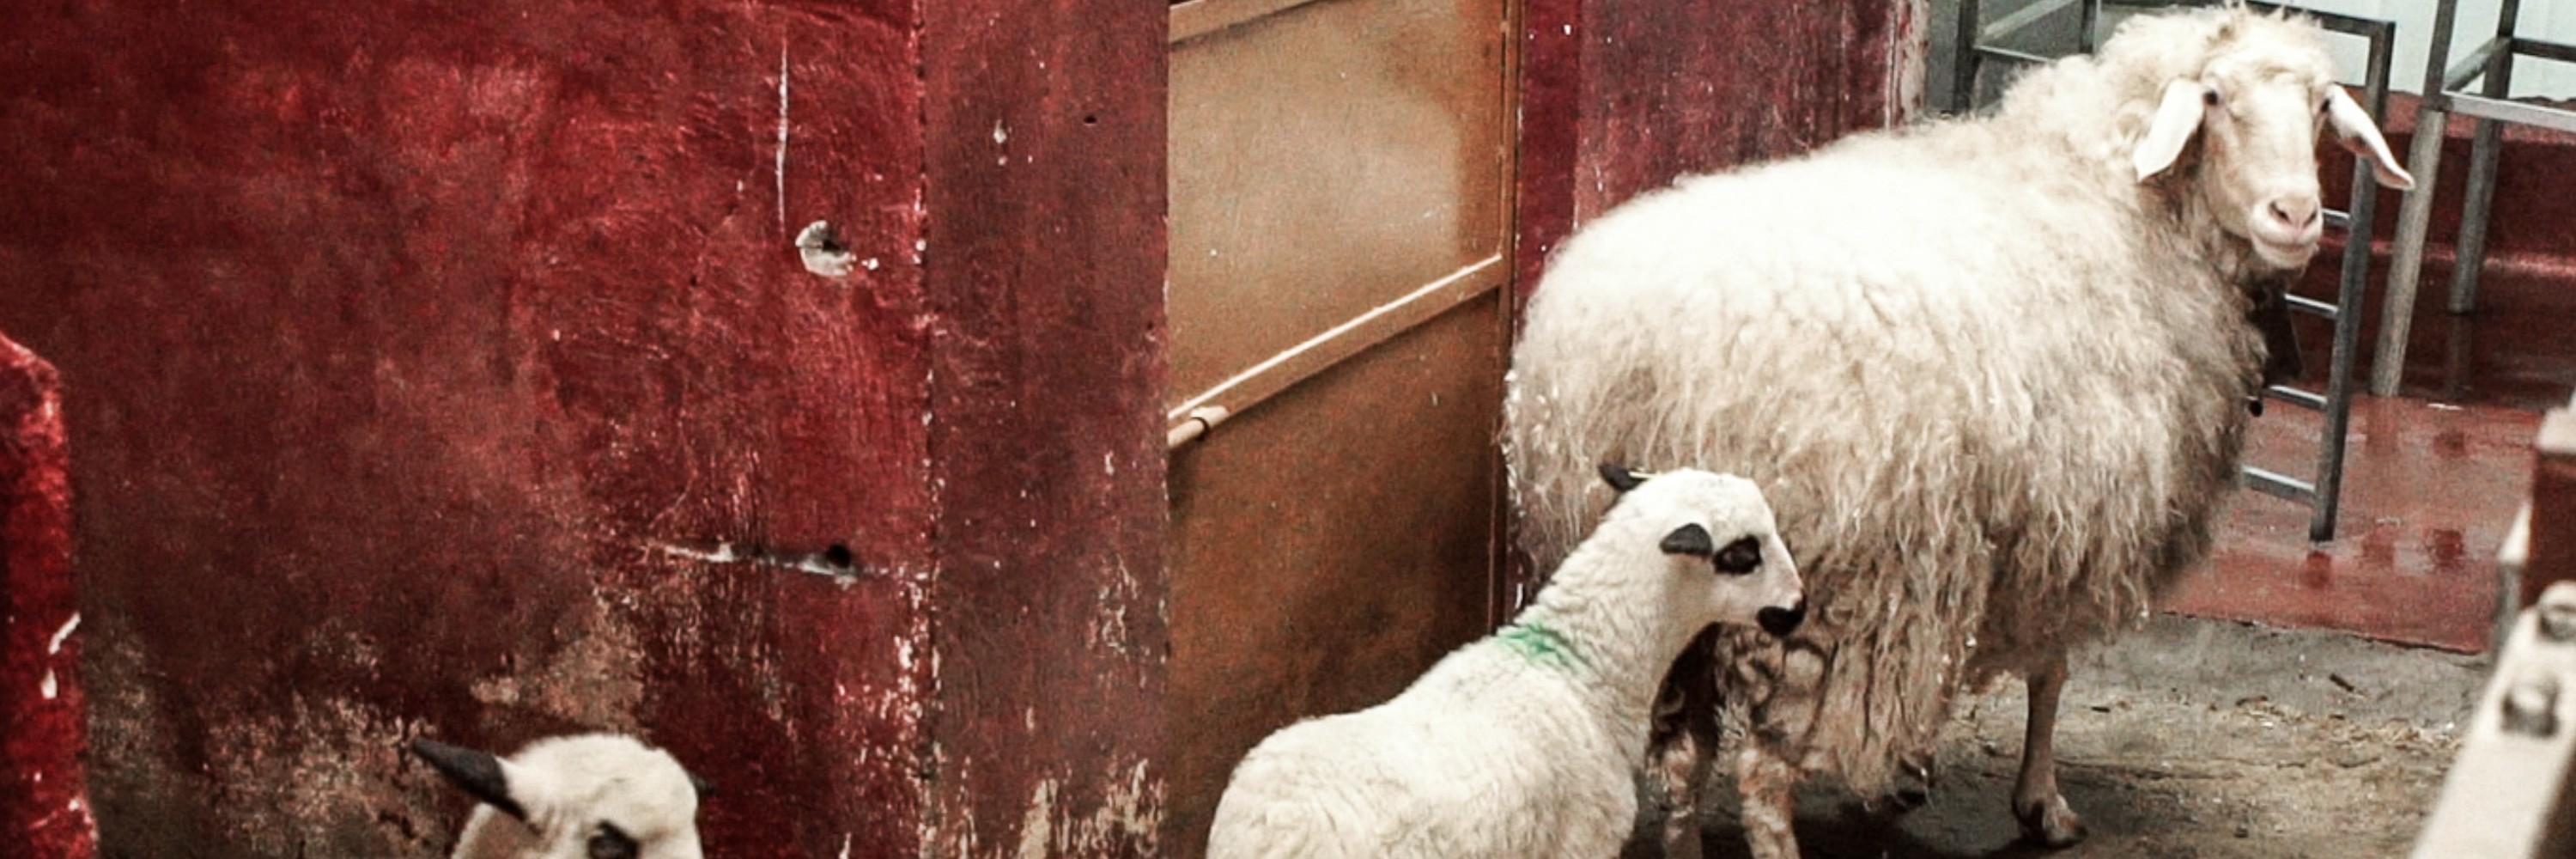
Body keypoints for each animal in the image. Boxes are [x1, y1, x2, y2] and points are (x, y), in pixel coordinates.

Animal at [1504, 8, 2411, 856]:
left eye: (2322, 105)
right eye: (2215, 99)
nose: (2296, 214)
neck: (2122, 200)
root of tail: (1648, 364)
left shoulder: (2011, 529)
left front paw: (1913, 770)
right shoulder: (2073, 518)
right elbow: (2051, 669)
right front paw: (2041, 803)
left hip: (1661, 584)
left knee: (1682, 757)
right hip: (1823, 586)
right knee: (1761, 770)